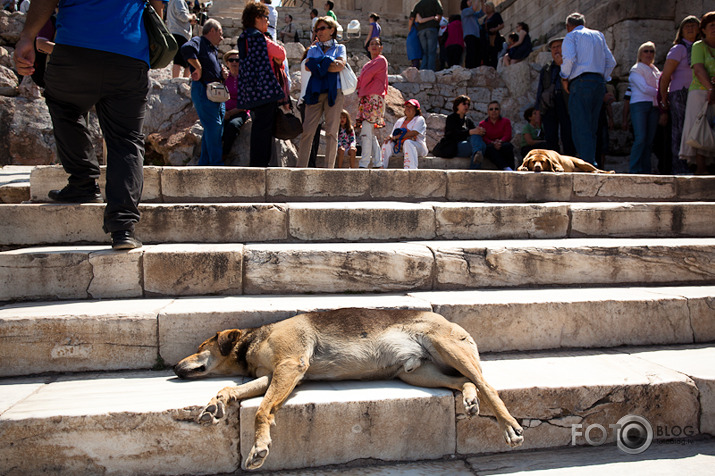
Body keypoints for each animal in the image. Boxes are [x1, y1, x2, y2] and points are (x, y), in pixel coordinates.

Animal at [176, 308, 524, 468]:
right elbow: (228, 389)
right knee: (465, 382)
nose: (175, 367)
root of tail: (443, 317)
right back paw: (469, 401)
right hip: (416, 373)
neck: (252, 342)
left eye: (199, 348)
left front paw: (259, 446)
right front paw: (214, 405)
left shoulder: (290, 367)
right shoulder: (273, 375)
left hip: (447, 347)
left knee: (487, 386)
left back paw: (509, 425)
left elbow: (262, 410)